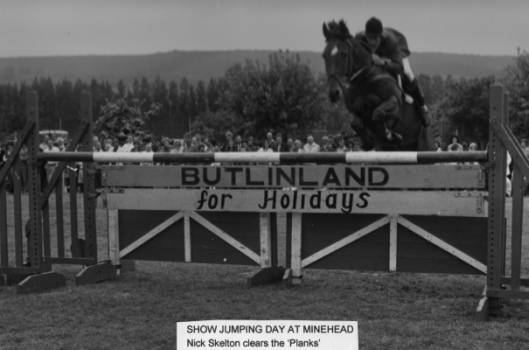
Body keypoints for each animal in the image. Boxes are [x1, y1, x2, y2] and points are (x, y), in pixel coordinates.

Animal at [320, 19, 432, 150]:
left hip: (424, 143)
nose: (334, 93)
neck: (364, 78)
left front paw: (390, 134)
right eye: (324, 55)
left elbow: (378, 113)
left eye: (344, 54)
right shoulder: (354, 110)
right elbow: (355, 123)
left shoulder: (395, 103)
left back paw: (424, 115)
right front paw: (367, 141)